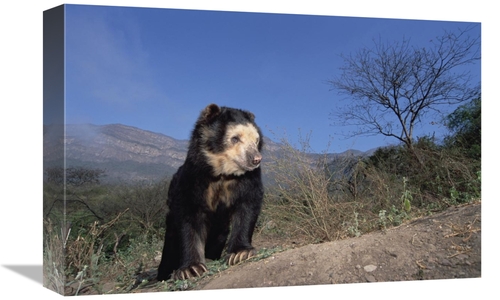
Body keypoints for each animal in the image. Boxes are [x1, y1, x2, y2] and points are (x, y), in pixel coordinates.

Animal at [157, 103, 266, 282]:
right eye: (235, 138)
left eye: (256, 140)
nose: (256, 159)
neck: (222, 173)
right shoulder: (193, 181)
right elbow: (189, 220)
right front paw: (191, 269)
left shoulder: (248, 180)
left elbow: (247, 207)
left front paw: (240, 253)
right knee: (171, 239)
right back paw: (164, 272)